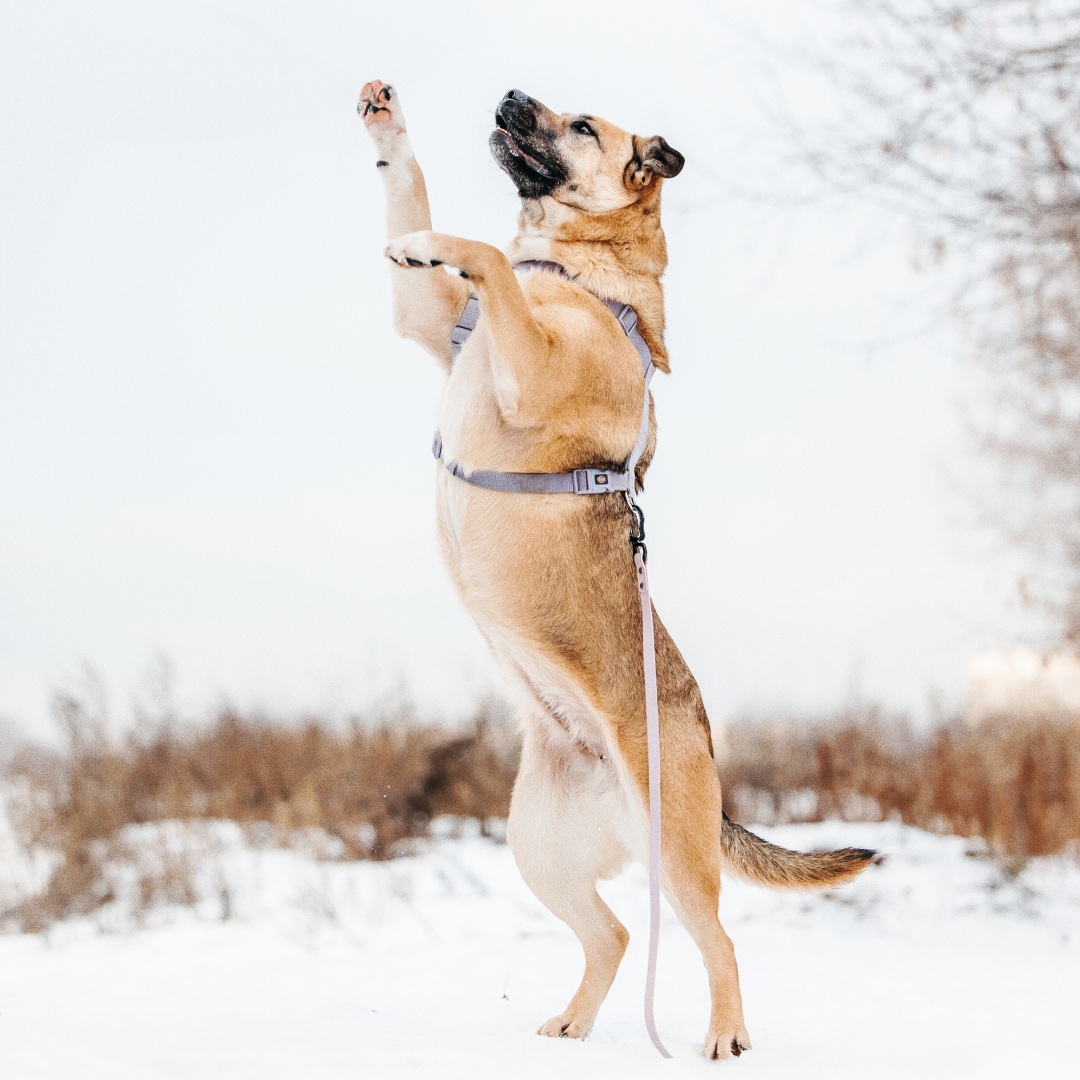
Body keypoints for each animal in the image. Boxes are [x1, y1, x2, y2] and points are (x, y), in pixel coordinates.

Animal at [356, 79, 876, 1058]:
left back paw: (724, 1038)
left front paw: (445, 242)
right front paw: (386, 128)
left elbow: (484, 252)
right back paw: (572, 1020)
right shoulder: (433, 323)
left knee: (717, 941)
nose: (511, 93)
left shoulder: (531, 365)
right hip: (538, 848)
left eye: (583, 125)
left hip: (676, 857)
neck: (570, 270)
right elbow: (414, 199)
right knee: (617, 934)